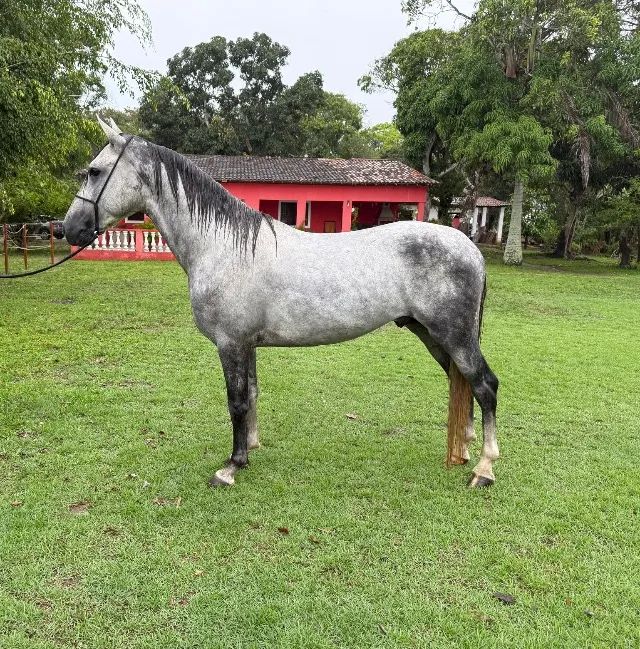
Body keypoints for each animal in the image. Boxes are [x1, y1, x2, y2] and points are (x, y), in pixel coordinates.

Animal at [64, 117, 500, 489]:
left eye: (95, 171)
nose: (68, 228)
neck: (222, 246)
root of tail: (469, 248)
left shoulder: (231, 344)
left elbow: (236, 401)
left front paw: (232, 466)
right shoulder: (247, 345)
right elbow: (253, 394)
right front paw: (251, 447)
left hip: (454, 336)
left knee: (485, 385)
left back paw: (484, 468)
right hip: (432, 335)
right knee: (463, 384)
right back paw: (464, 448)